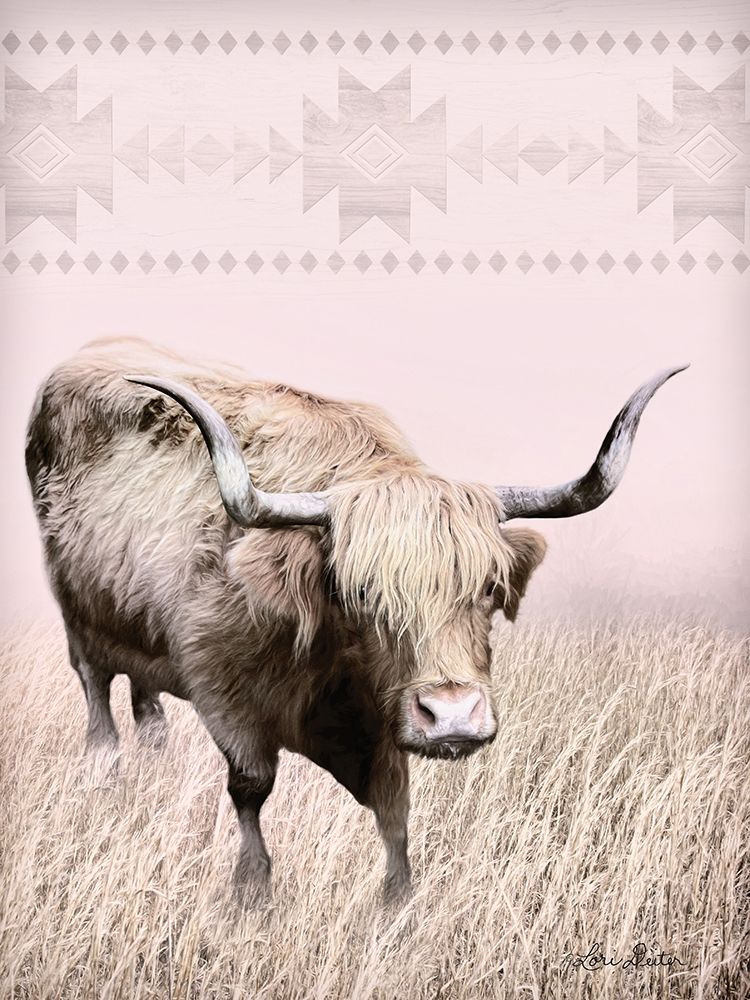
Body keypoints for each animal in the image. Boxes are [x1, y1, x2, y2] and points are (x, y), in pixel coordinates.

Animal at [25, 337, 685, 904]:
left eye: (487, 588)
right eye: (360, 591)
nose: (452, 717)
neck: (329, 670)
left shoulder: (384, 728)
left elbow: (395, 815)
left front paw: (398, 904)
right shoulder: (223, 694)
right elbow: (250, 789)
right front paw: (252, 892)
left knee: (146, 701)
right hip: (76, 619)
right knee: (97, 698)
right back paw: (105, 776)